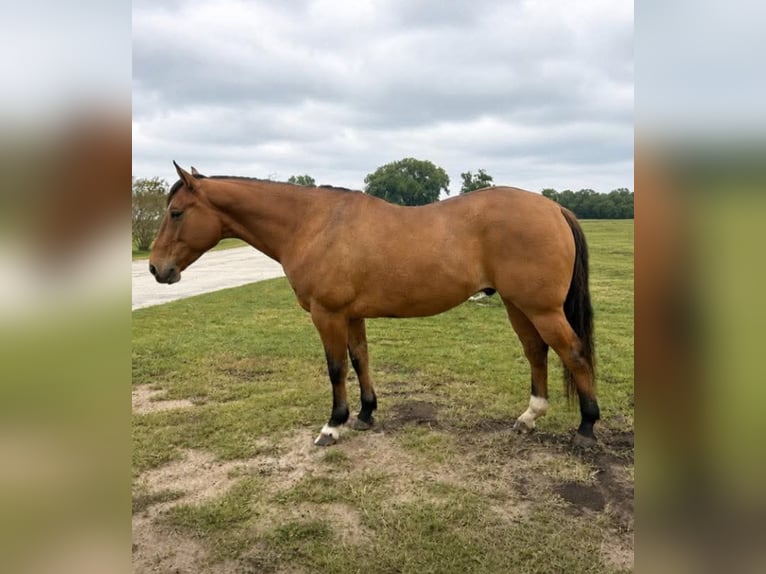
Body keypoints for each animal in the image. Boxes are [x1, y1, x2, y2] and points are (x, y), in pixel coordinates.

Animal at [149, 162, 600, 447]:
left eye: (176, 213)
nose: (156, 268)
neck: (312, 224)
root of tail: (553, 207)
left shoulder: (327, 314)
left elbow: (336, 367)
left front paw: (333, 425)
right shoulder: (351, 316)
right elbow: (360, 359)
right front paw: (365, 414)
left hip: (540, 309)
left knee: (573, 353)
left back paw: (587, 426)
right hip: (518, 306)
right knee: (537, 352)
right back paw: (529, 417)